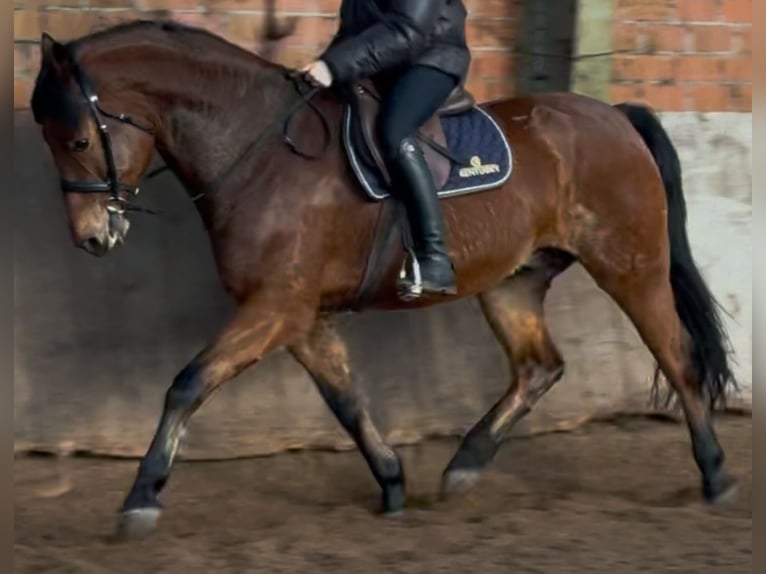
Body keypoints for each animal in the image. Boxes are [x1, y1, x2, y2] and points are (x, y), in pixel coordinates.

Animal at [31, 20, 744, 544]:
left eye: (76, 139)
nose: (92, 238)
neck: (261, 152)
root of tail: (614, 116)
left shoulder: (275, 308)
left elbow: (185, 385)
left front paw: (140, 500)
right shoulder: (301, 316)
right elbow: (346, 401)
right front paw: (394, 482)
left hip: (630, 266)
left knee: (677, 358)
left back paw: (716, 477)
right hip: (511, 282)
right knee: (539, 367)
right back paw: (463, 467)